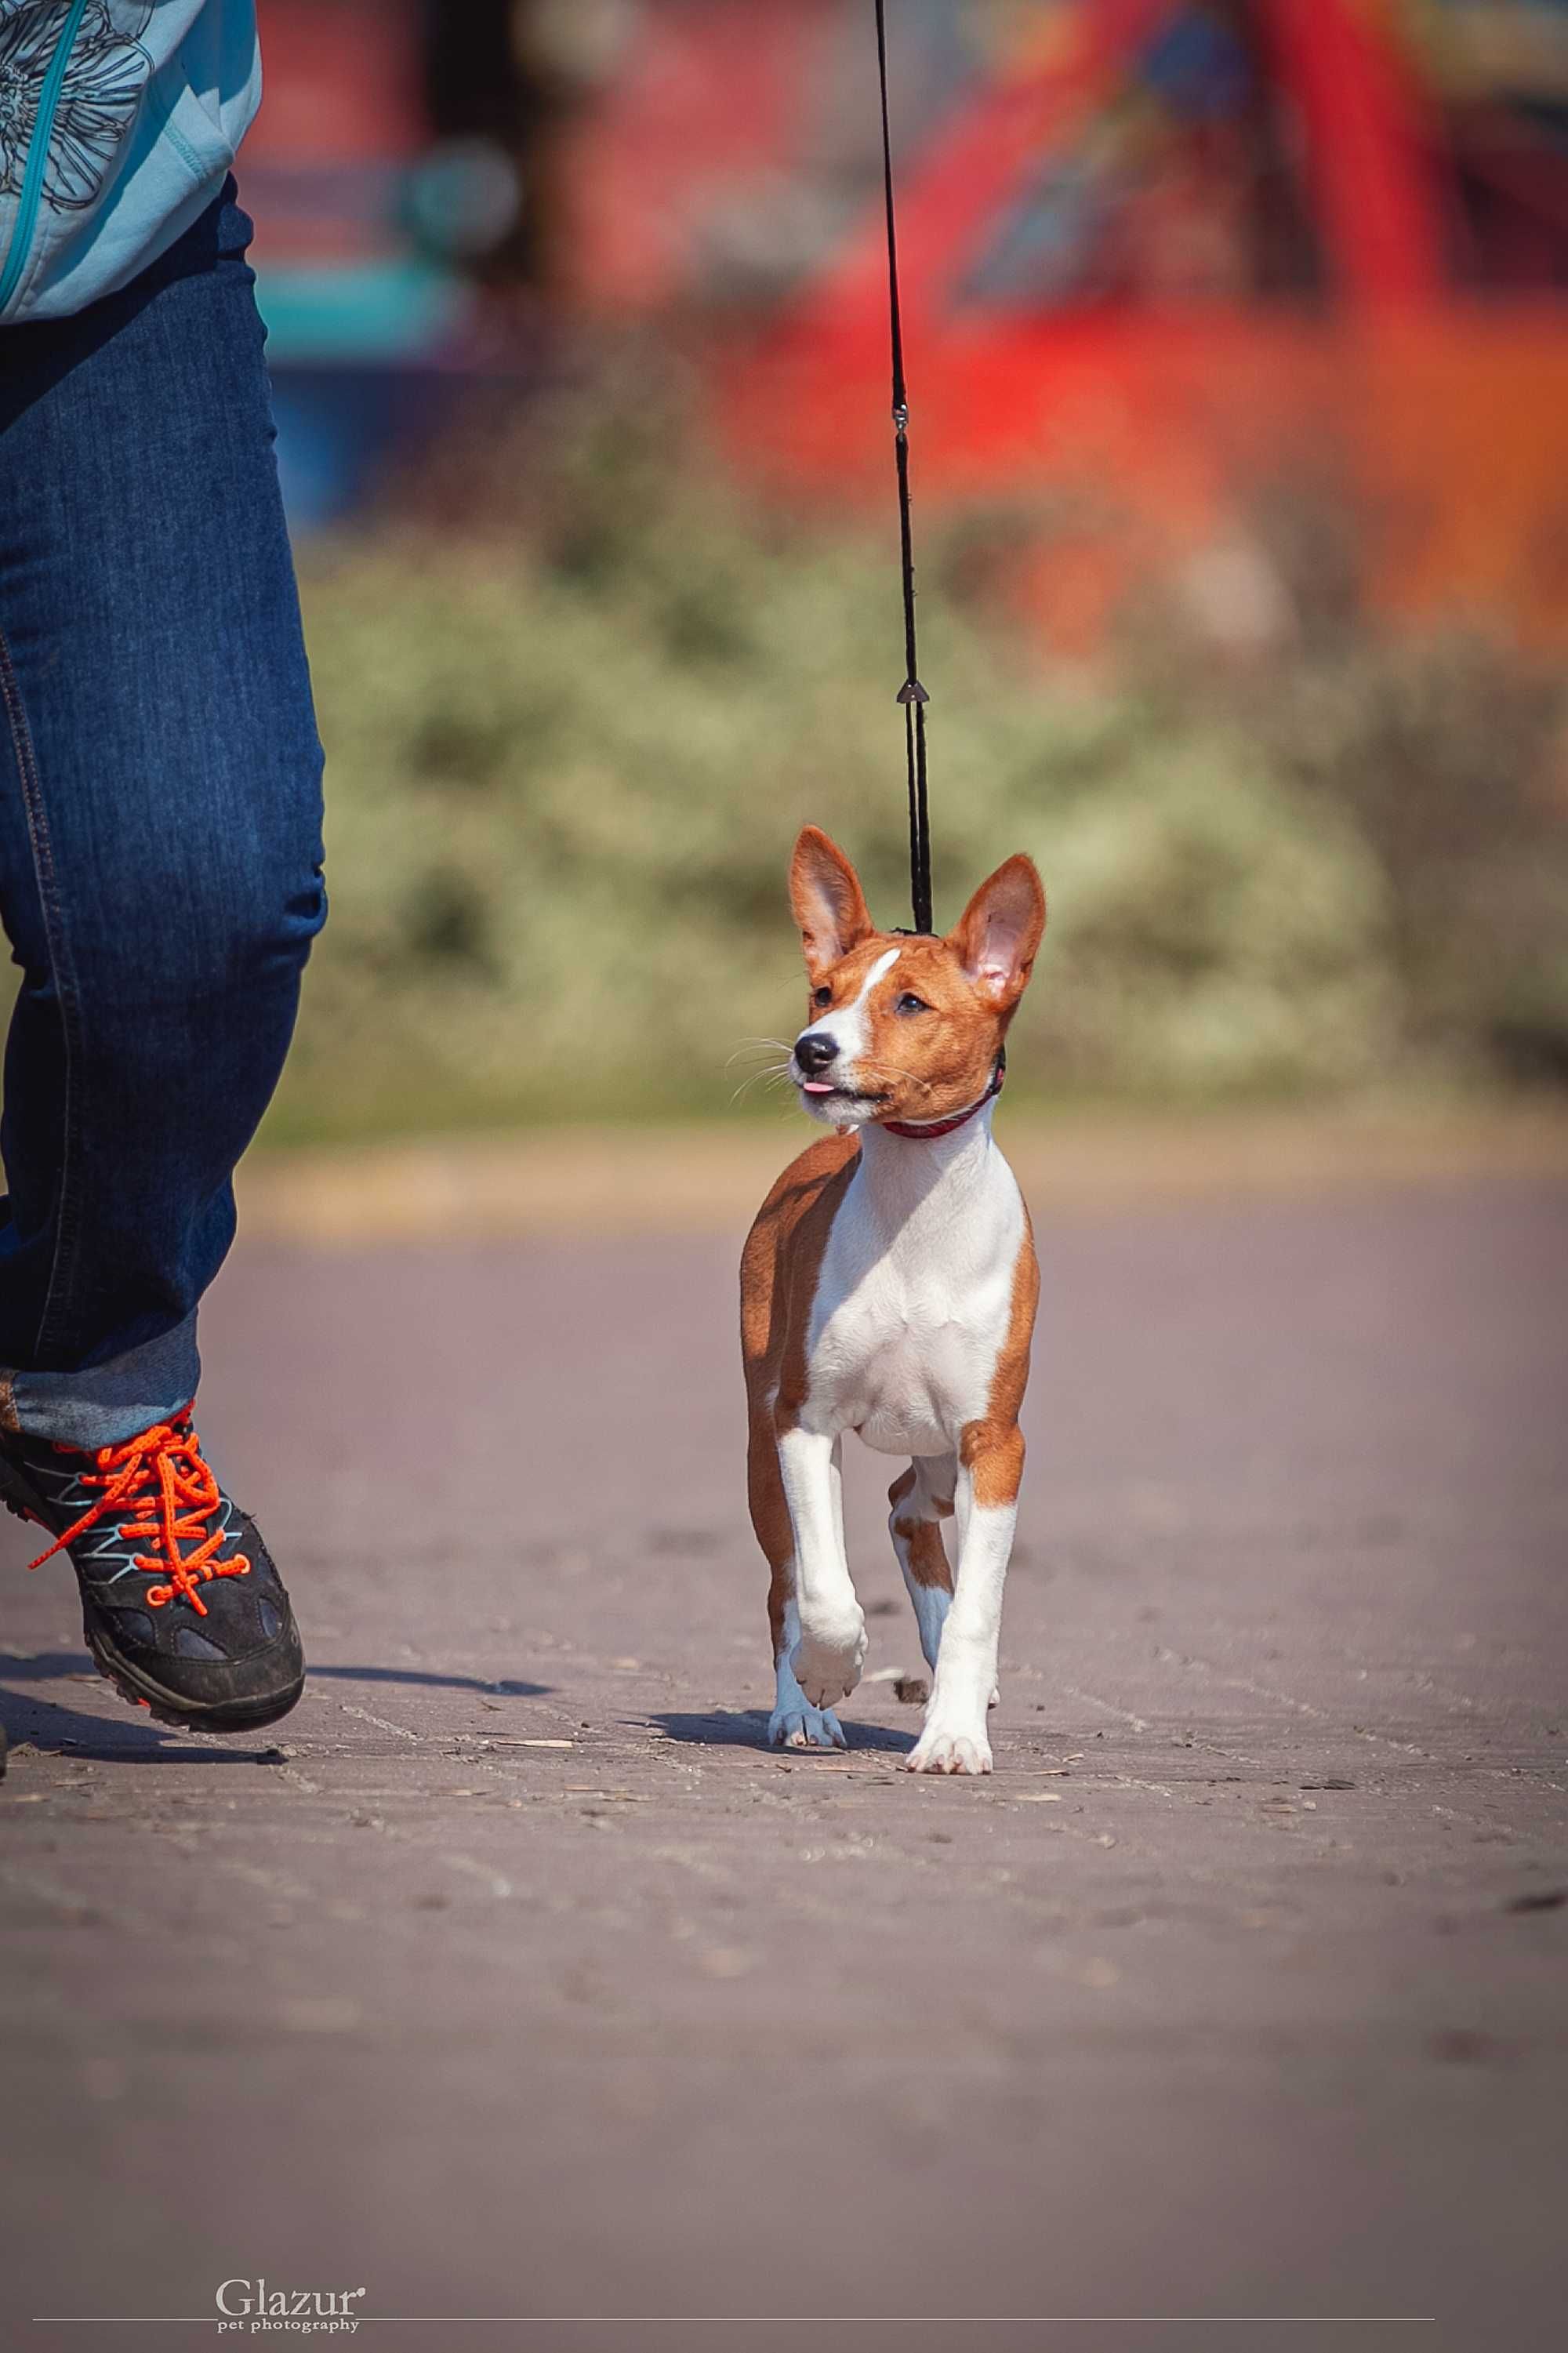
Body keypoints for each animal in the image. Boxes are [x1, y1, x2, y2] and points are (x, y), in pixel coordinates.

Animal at [739, 837, 1045, 1769]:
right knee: (785, 1584)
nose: (813, 1049)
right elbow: (823, 1590)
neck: (915, 1222)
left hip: (946, 1453)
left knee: (910, 1509)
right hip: (761, 1444)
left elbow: (980, 1608)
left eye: (910, 1002)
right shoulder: (802, 1422)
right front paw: (830, 1673)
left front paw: (953, 1734)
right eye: (823, 993)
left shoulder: (995, 1443)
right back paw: (800, 1710)